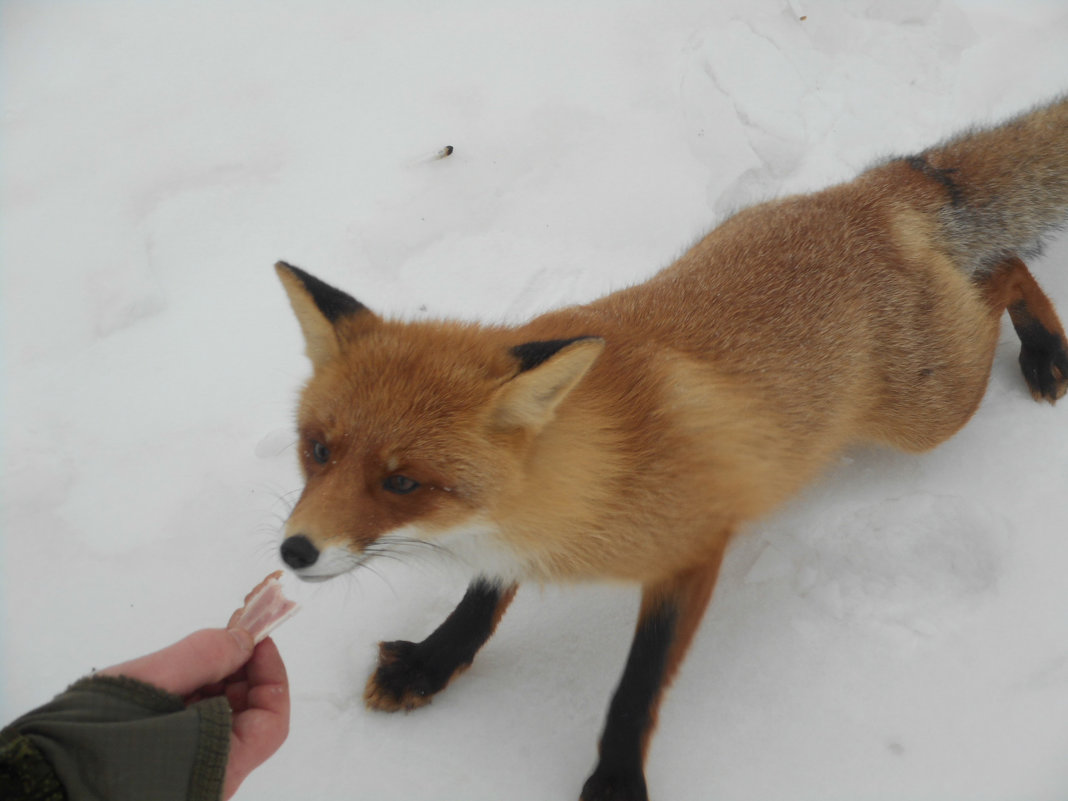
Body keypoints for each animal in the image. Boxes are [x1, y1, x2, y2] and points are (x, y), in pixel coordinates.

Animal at [273, 98, 1068, 801]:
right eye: (317, 449)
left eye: (402, 482)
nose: (294, 551)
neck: (593, 471)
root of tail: (863, 195)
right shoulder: (516, 530)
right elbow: (483, 596)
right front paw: (434, 662)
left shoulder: (693, 547)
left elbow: (637, 682)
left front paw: (617, 776)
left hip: (931, 411)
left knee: (1005, 268)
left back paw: (1045, 349)